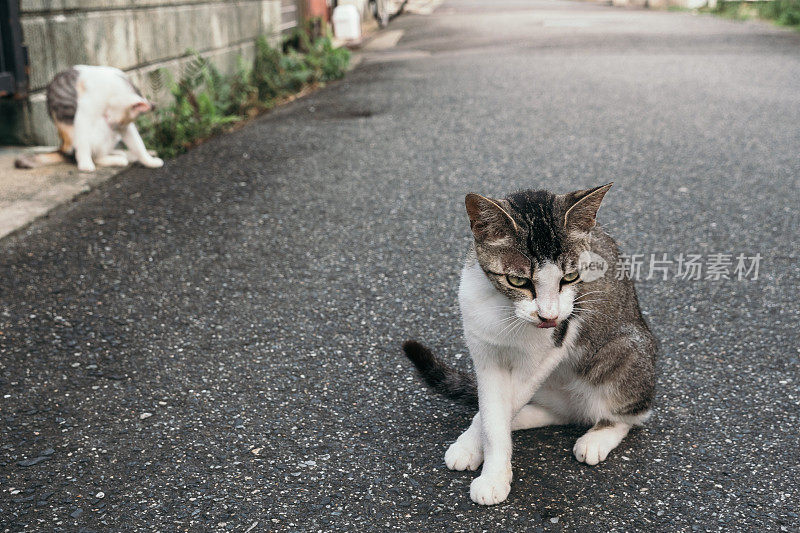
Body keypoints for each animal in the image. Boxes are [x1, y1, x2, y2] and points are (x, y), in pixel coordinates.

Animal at [15, 65, 162, 171]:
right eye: (113, 119)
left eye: (120, 123)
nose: (112, 123)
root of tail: (63, 148)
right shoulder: (85, 112)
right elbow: (84, 143)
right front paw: (85, 165)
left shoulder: (125, 127)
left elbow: (137, 144)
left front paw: (149, 161)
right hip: (93, 130)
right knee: (93, 153)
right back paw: (114, 159)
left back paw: (119, 153)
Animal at [404, 183, 652, 502]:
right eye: (518, 281)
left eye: (571, 277)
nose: (549, 316)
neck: (505, 310)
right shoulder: (484, 351)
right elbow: (493, 411)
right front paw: (479, 447)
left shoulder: (554, 346)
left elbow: (507, 404)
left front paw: (493, 477)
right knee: (557, 412)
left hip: (626, 349)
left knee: (630, 411)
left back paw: (597, 436)